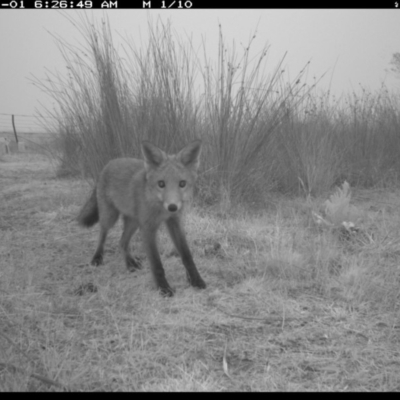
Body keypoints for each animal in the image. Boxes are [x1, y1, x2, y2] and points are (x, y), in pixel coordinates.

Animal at [76, 139, 206, 296]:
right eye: (161, 184)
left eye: (182, 183)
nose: (172, 207)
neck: (158, 208)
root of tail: (109, 163)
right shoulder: (148, 228)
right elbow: (156, 264)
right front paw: (163, 288)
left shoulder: (174, 222)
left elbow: (187, 256)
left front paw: (196, 280)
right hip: (110, 217)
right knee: (103, 234)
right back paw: (97, 258)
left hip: (134, 222)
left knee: (122, 242)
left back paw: (130, 264)